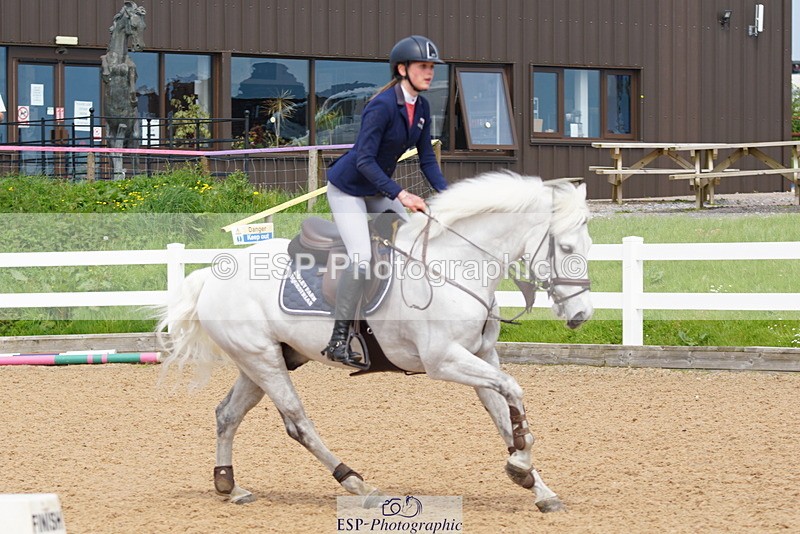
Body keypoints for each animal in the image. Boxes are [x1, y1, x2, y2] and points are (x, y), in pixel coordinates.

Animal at [156, 171, 594, 513]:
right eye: (566, 248)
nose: (581, 315)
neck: (455, 264)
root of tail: (211, 274)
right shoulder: (444, 360)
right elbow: (514, 393)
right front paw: (521, 467)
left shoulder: (481, 355)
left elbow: (504, 415)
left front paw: (536, 484)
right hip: (262, 358)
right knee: (297, 422)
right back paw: (359, 485)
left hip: (264, 360)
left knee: (227, 414)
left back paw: (229, 485)